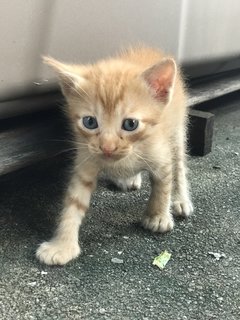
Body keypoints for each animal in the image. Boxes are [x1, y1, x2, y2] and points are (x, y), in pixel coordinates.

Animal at [36, 45, 193, 264]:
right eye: (90, 122)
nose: (107, 147)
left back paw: (180, 200)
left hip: (177, 131)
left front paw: (158, 217)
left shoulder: (161, 155)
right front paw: (62, 245)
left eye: (130, 124)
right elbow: (74, 202)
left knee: (179, 166)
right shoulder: (87, 158)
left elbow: (162, 186)